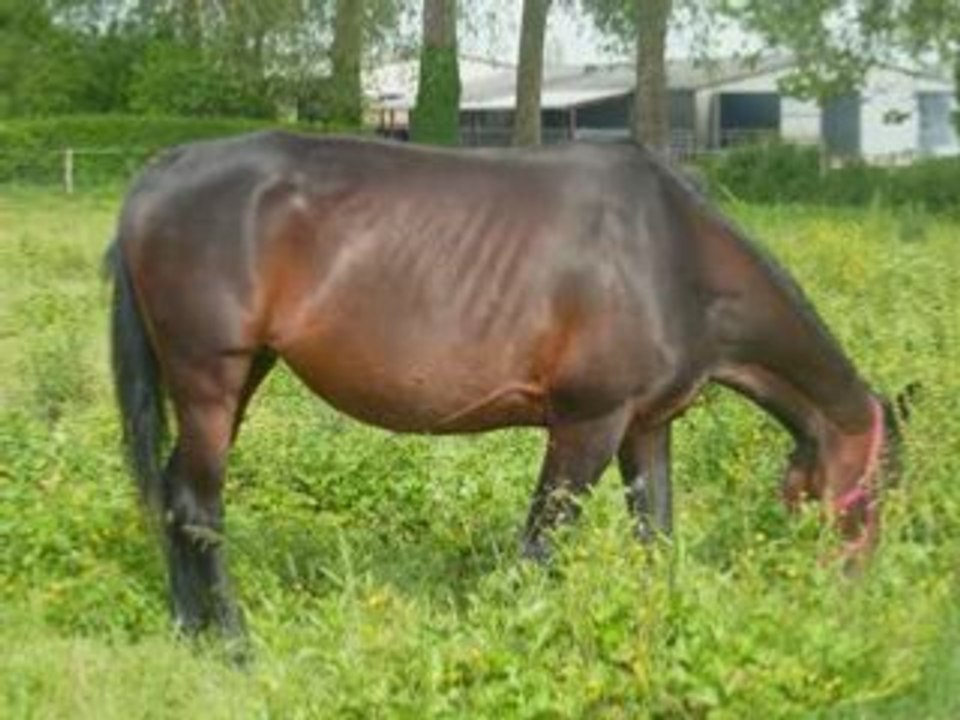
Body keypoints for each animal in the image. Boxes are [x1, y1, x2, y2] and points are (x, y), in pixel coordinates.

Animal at [106, 131, 896, 636]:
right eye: (875, 497)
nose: (851, 603)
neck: (672, 253)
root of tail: (159, 173)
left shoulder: (645, 427)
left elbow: (656, 536)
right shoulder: (588, 424)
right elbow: (542, 543)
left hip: (236, 377)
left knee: (173, 493)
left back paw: (187, 628)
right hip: (210, 379)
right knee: (198, 503)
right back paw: (234, 641)